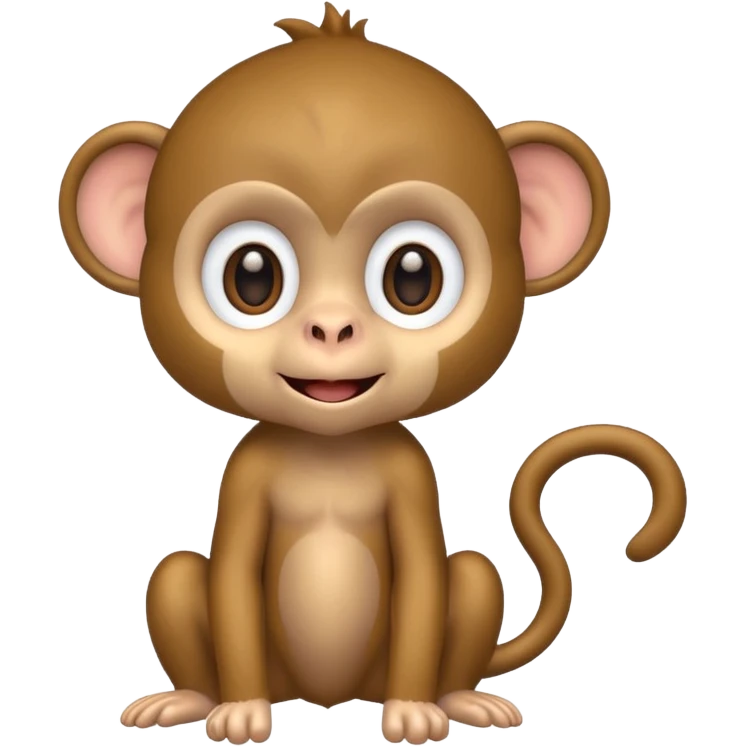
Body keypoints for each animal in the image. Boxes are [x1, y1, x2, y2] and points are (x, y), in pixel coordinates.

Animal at [57, 4, 687, 745]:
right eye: (251, 276)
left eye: (413, 276)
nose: (332, 329)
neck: (331, 450)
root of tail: (326, 697)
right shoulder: (245, 475)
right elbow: (232, 573)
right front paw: (240, 710)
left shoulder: (409, 476)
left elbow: (422, 575)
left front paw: (412, 710)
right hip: (219, 620)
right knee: (180, 572)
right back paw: (189, 698)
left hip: (437, 620)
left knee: (471, 573)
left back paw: (458, 697)